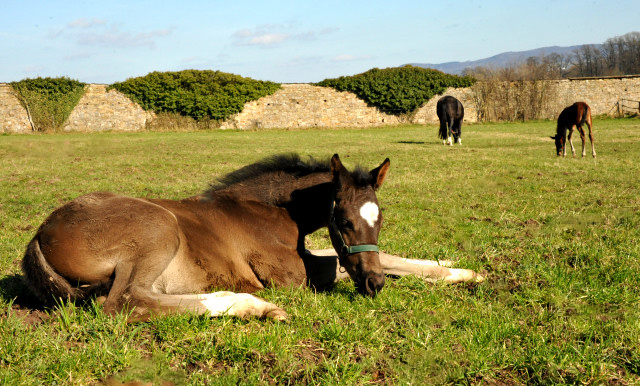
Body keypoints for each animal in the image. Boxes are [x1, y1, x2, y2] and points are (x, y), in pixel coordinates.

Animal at [20, 153, 482, 320]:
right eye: (343, 219)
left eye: (380, 219)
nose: (374, 286)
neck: (274, 209)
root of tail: (39, 235)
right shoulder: (293, 275)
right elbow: (336, 265)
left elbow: (389, 257)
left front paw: (460, 270)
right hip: (159, 229)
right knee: (124, 302)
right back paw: (255, 306)